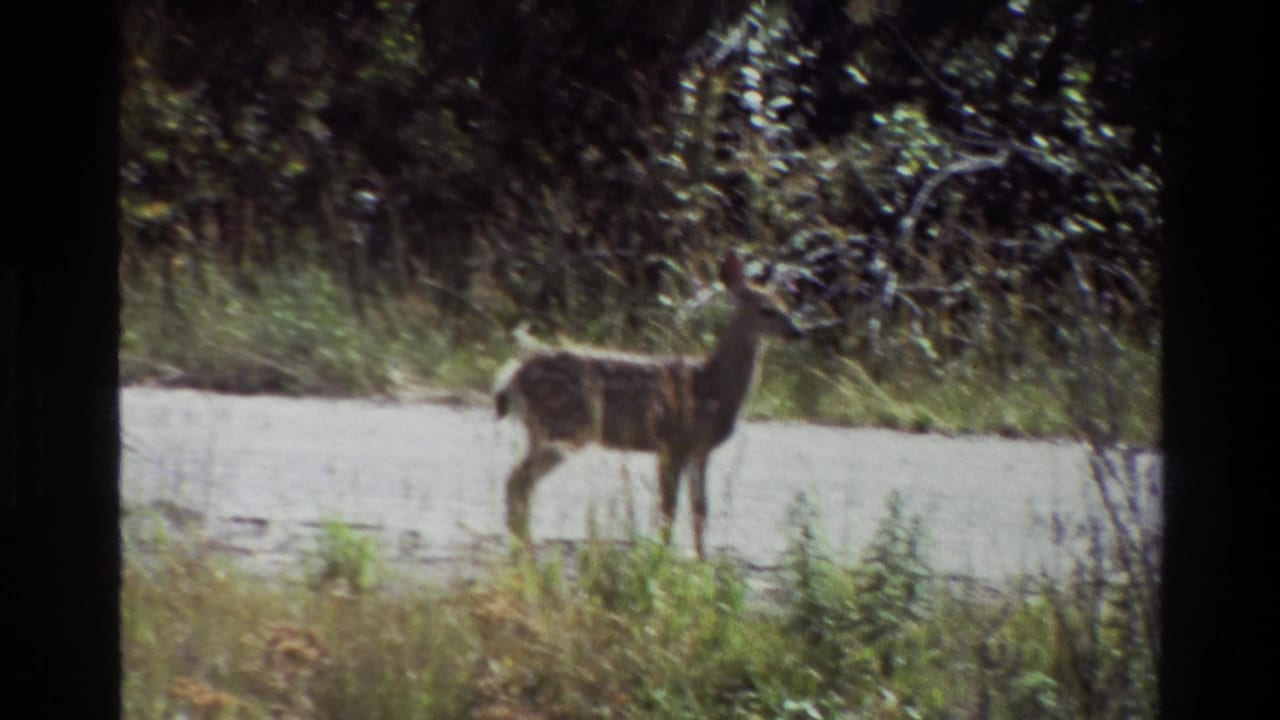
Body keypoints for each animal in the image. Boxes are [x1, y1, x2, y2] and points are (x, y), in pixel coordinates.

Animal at [493, 250, 804, 558]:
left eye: (785, 305)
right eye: (766, 309)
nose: (797, 332)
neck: (713, 386)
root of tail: (513, 378)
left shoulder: (699, 449)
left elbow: (701, 508)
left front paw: (702, 560)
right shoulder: (673, 442)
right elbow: (669, 507)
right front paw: (663, 557)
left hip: (548, 432)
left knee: (520, 481)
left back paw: (521, 543)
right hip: (563, 428)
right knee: (517, 480)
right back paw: (523, 547)